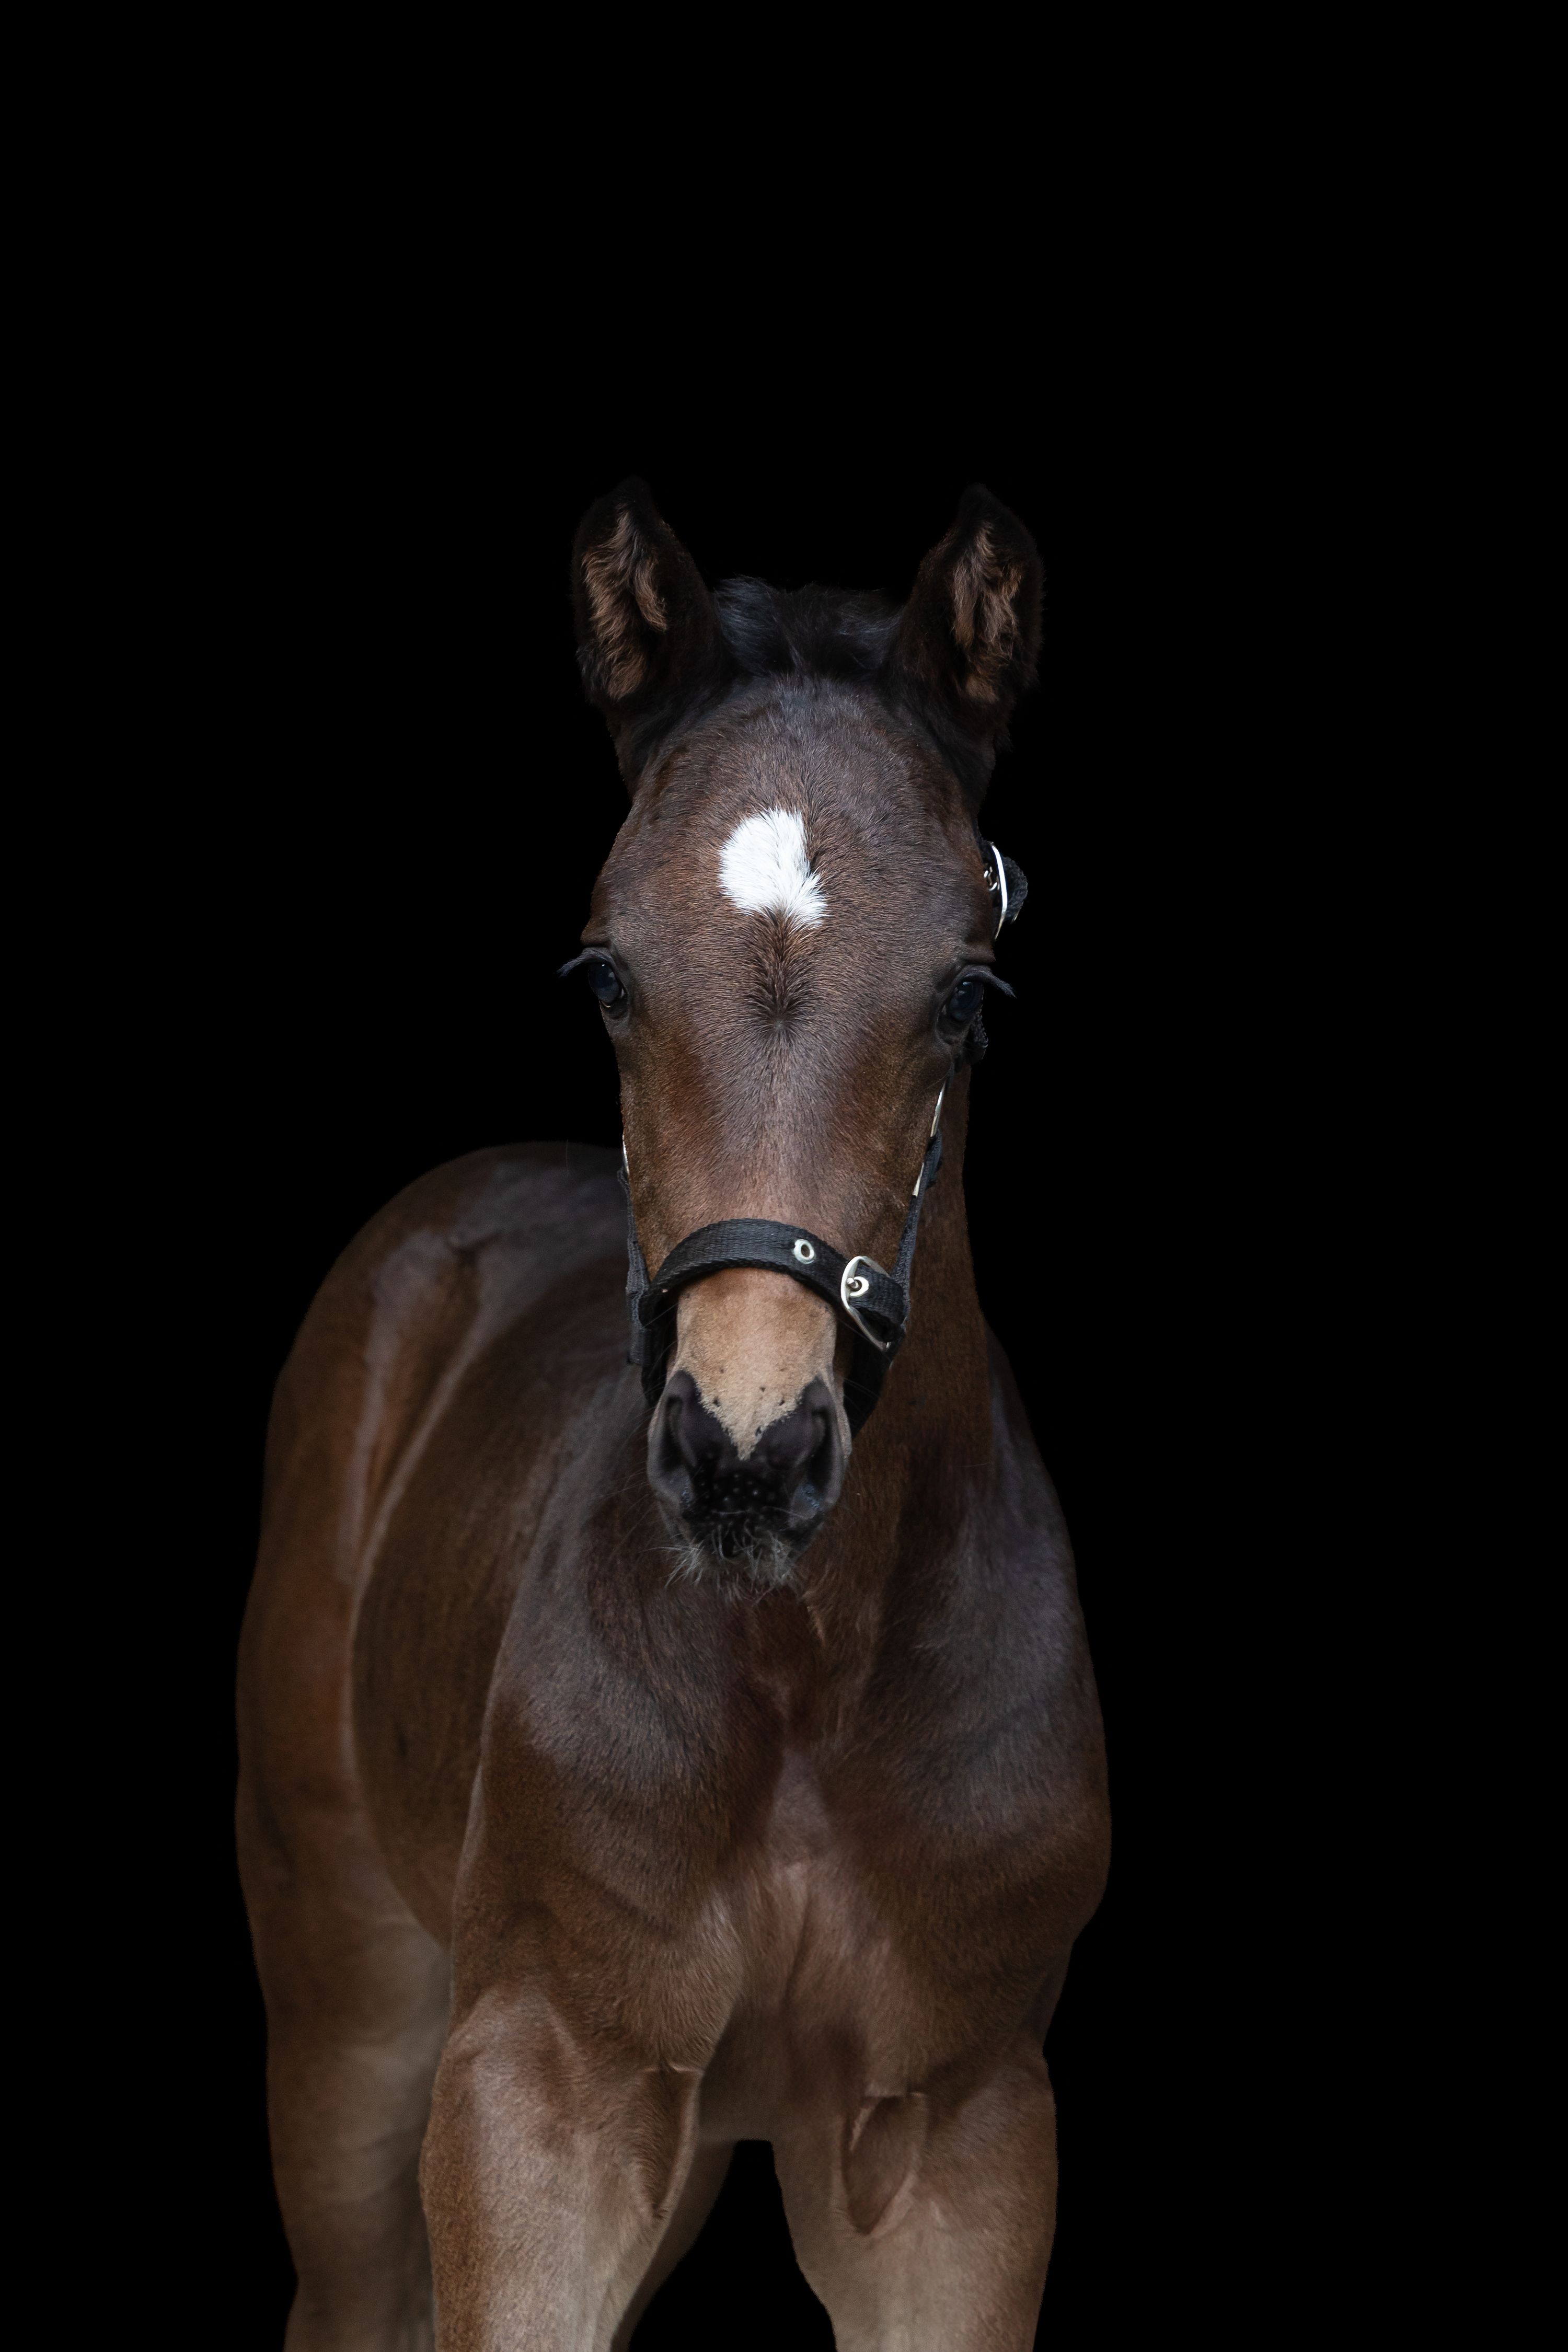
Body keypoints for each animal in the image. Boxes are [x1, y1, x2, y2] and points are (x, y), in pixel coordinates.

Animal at [237, 480, 1111, 2350]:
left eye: (968, 993)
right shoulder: (539, 2095)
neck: (805, 1680)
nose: (744, 1457)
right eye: (605, 971)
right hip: (347, 2013)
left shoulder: (962, 2142)